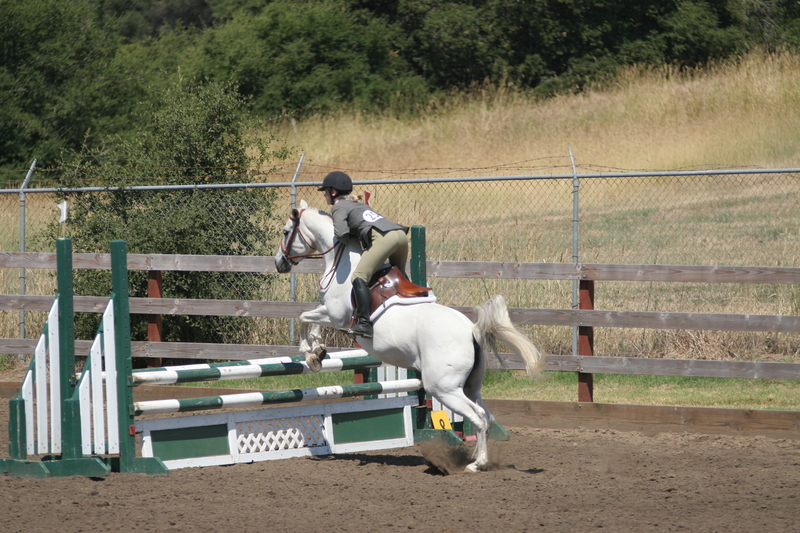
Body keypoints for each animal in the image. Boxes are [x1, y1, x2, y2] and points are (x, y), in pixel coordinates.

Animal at [274, 200, 542, 472]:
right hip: (469, 386)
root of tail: (472, 330)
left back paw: (477, 464)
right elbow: (310, 319)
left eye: (286, 232)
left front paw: (310, 353)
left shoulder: (335, 315)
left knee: (478, 417)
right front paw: (318, 350)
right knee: (487, 417)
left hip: (443, 388)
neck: (344, 263)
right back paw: (476, 456)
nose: (279, 263)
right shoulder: (329, 312)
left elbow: (304, 317)